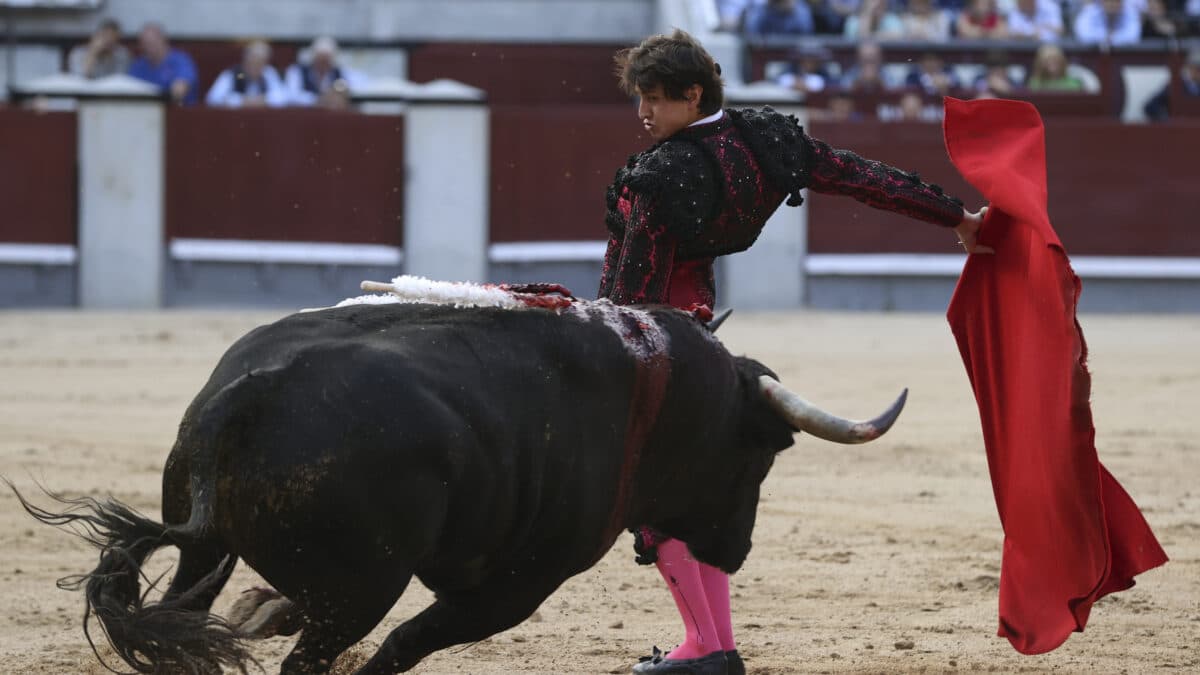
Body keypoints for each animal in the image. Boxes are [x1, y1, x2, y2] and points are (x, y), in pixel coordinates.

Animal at [7, 300, 902, 672]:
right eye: (762, 456)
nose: (737, 549)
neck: (655, 387)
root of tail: (247, 394)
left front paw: (260, 607)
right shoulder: (518, 582)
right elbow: (406, 644)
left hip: (211, 547)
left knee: (184, 616)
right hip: (361, 586)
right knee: (310, 656)